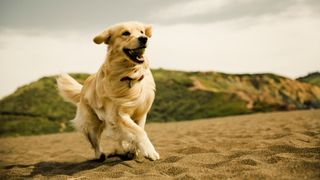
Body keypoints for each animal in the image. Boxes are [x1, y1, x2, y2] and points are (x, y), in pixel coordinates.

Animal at [57, 21, 160, 161]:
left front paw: (135, 150)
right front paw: (149, 151)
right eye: (125, 33)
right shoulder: (117, 115)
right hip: (91, 122)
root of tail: (83, 87)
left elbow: (138, 129)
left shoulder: (140, 112)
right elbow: (138, 131)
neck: (129, 75)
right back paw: (100, 154)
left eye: (142, 32)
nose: (144, 39)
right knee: (95, 140)